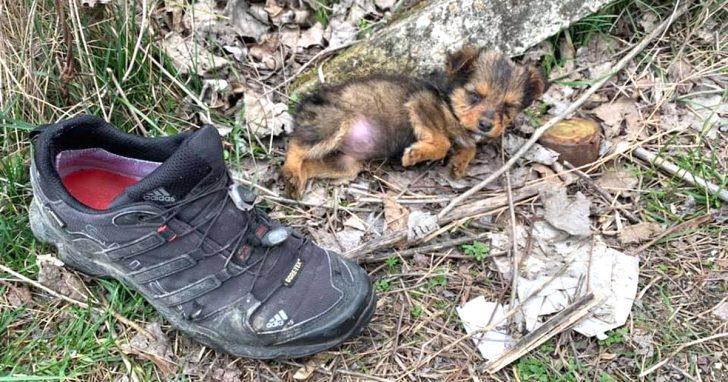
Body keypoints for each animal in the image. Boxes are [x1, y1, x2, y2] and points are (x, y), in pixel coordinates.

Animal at [282, 47, 544, 198]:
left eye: (507, 107)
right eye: (475, 95)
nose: (486, 125)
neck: (449, 100)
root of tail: (304, 104)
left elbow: (467, 145)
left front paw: (459, 164)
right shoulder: (422, 105)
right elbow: (443, 142)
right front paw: (417, 154)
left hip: (345, 164)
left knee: (310, 163)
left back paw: (296, 180)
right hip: (334, 122)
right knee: (295, 145)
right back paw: (291, 171)